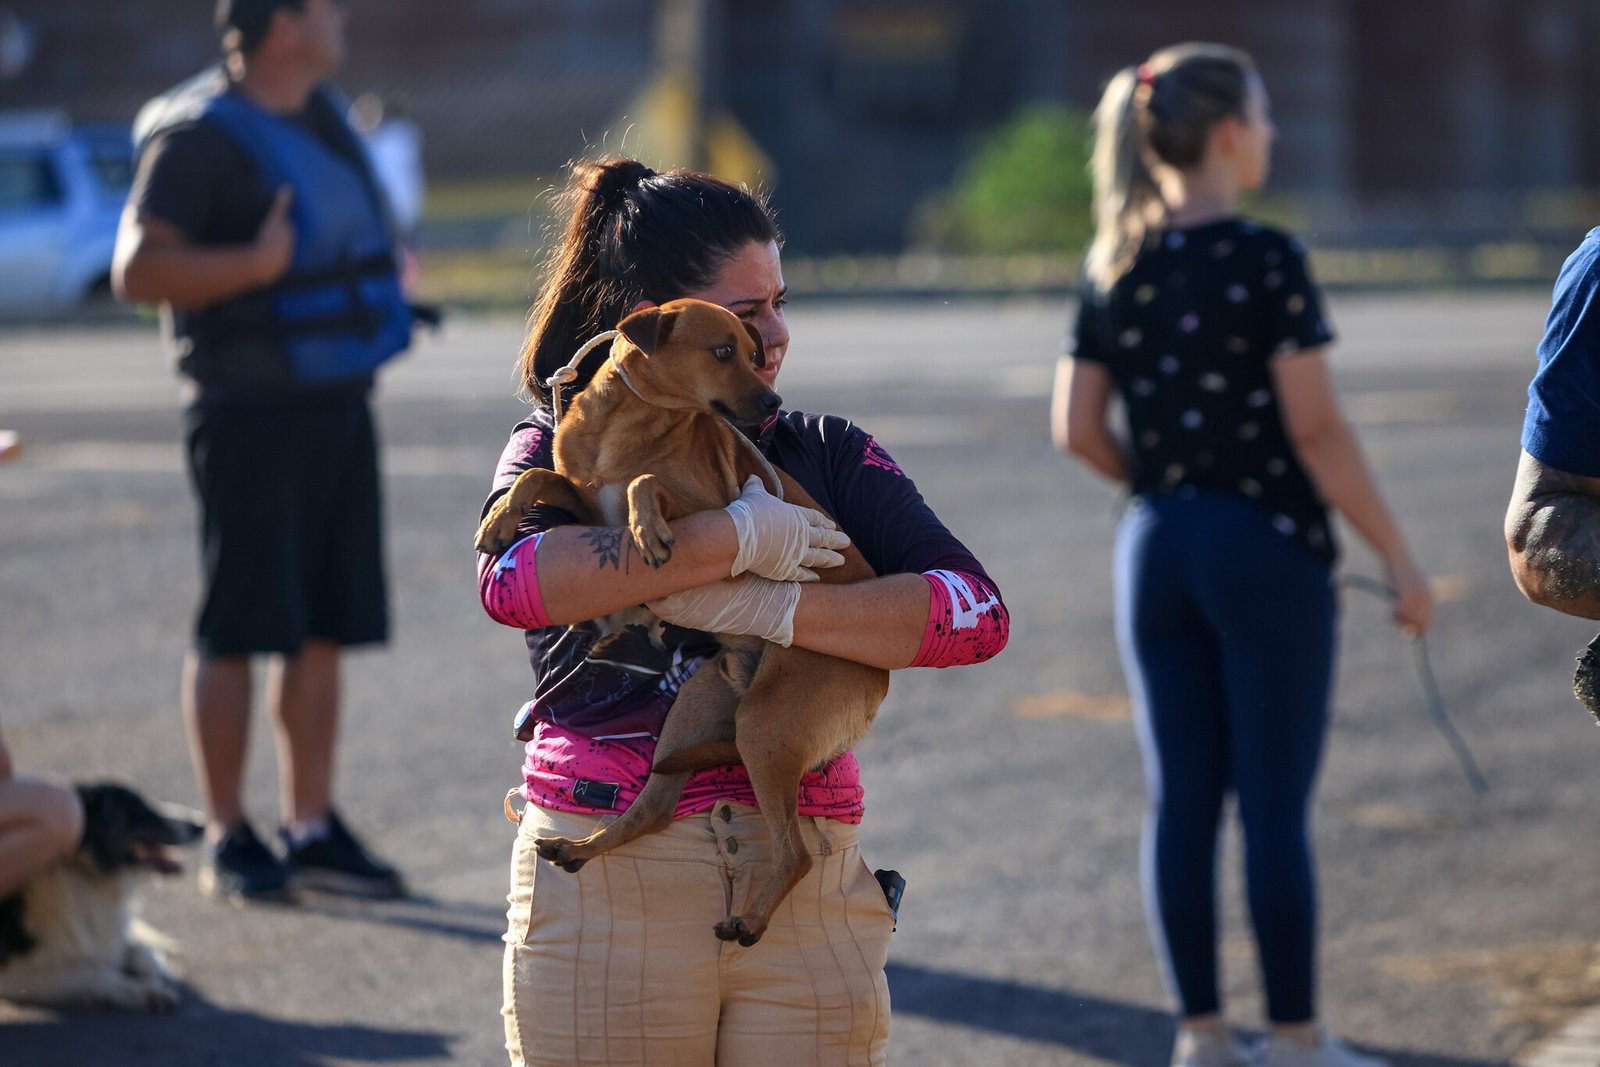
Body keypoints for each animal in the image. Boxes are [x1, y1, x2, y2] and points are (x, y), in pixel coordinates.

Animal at [0, 780, 206, 1017]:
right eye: (136, 807)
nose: (200, 825)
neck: (85, 875)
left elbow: (137, 952)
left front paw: (154, 970)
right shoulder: (14, 976)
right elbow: (98, 971)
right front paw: (145, 992)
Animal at [473, 295, 889, 947]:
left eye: (751, 353)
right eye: (723, 351)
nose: (772, 403)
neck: (627, 426)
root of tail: (881, 676)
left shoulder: (712, 508)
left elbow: (648, 485)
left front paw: (649, 529)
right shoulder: (587, 506)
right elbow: (542, 476)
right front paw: (498, 521)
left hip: (765, 727)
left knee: (795, 852)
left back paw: (749, 920)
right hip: (698, 710)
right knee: (656, 806)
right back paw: (581, 847)